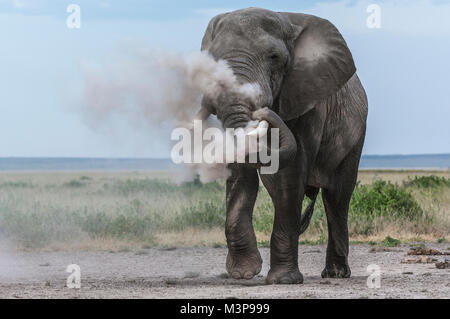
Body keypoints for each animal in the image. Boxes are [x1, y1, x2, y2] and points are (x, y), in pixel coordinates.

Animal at [195, 7, 368, 284]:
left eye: (274, 57)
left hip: (355, 136)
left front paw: (282, 280)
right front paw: (244, 273)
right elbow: (241, 172)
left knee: (337, 198)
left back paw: (336, 273)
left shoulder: (307, 97)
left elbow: (291, 172)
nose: (263, 112)